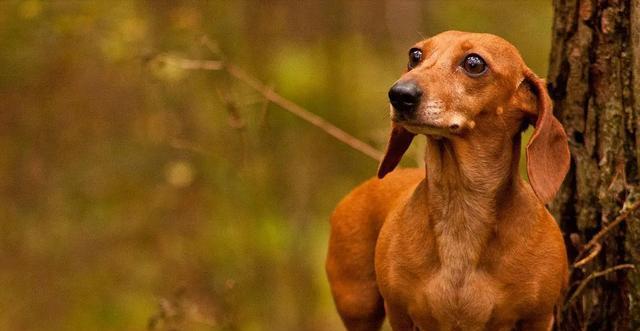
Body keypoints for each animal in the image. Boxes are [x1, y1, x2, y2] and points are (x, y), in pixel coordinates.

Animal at [328, 29, 568, 330]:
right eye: (415, 55)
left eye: (474, 63)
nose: (399, 94)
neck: (461, 210)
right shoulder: (400, 313)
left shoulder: (538, 317)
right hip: (359, 305)